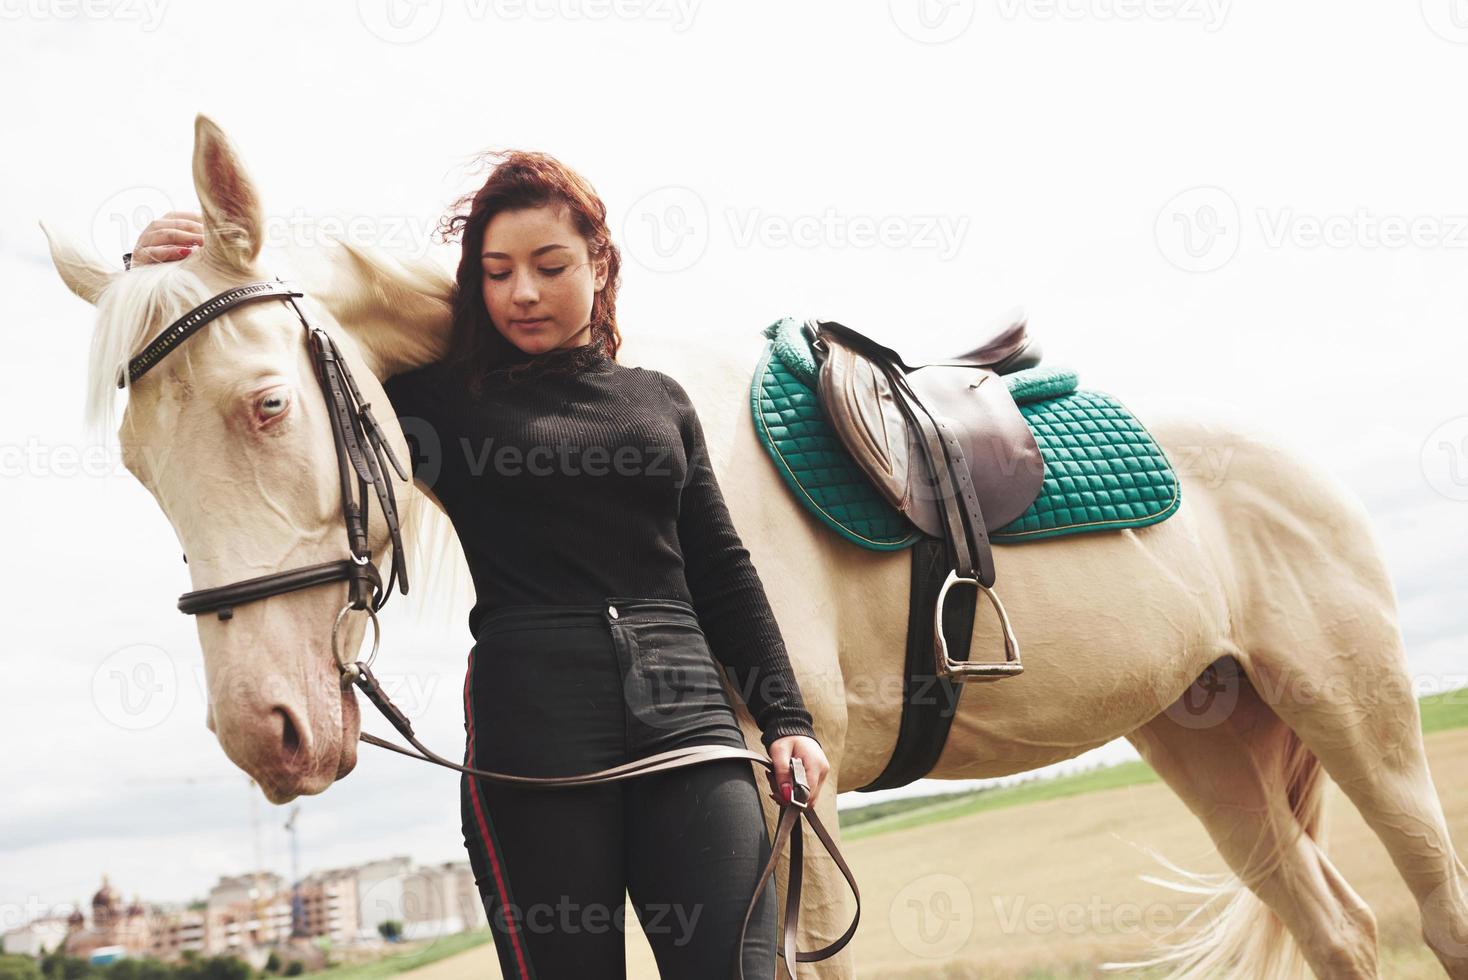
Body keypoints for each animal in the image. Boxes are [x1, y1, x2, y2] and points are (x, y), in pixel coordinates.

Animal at [45, 116, 1468, 979]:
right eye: (138, 464)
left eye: (265, 405)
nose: (265, 731)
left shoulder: (798, 795)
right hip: (1201, 736)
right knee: (1337, 927)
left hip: (1358, 716)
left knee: (1432, 904)